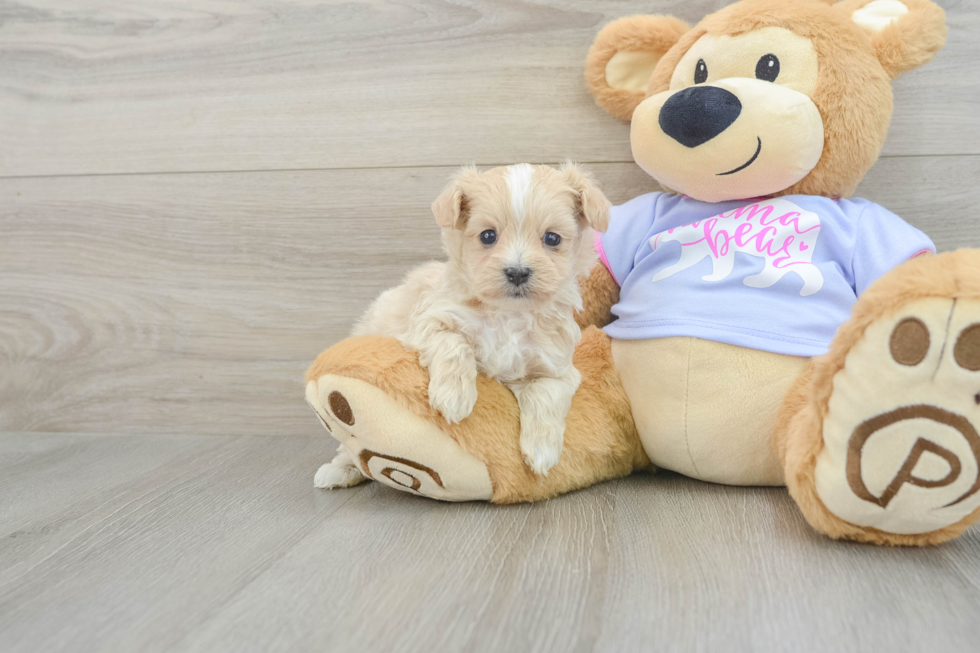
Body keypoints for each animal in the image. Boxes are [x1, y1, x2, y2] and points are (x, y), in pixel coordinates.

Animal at [314, 163, 608, 488]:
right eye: (488, 236)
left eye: (553, 239)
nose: (517, 272)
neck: (509, 314)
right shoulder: (428, 321)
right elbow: (453, 342)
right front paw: (454, 396)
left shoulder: (557, 366)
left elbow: (546, 393)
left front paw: (542, 452)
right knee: (349, 447)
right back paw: (339, 469)